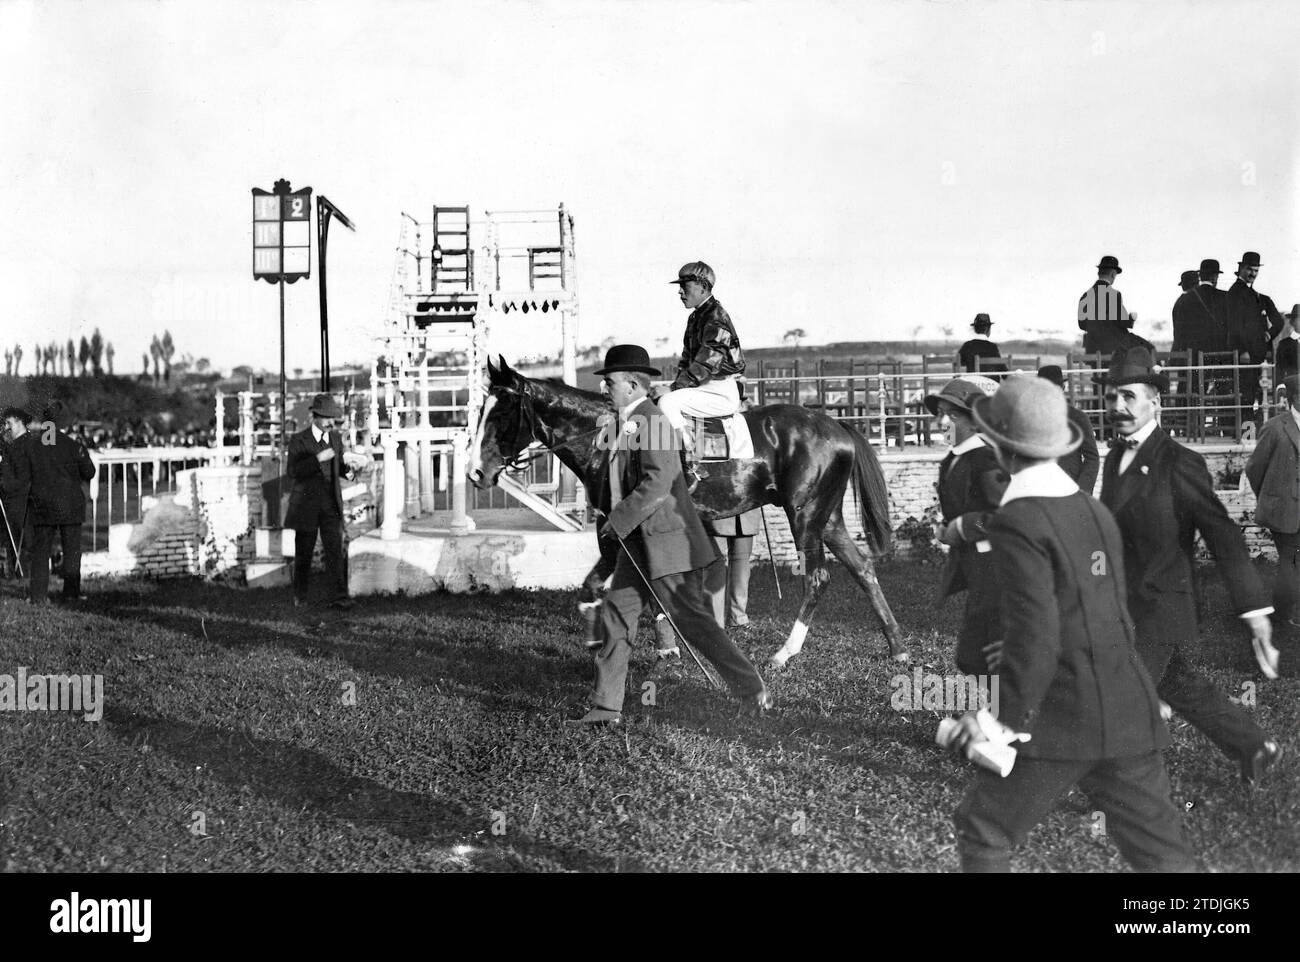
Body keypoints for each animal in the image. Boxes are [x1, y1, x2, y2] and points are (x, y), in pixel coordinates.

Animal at [473, 356, 909, 670]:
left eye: (500, 413)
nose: (476, 472)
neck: (611, 437)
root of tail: (837, 425)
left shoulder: (615, 526)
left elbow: (609, 585)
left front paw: (639, 644)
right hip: (828, 519)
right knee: (863, 569)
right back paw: (897, 647)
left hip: (804, 516)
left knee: (818, 578)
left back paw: (785, 653)